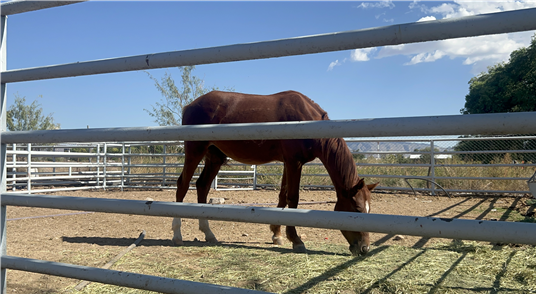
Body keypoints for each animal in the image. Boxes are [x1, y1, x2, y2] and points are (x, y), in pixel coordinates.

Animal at [174, 90, 378, 256]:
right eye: (357, 209)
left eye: (369, 210)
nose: (364, 248)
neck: (307, 120)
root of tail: (190, 106)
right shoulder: (294, 162)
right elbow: (293, 198)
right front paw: (296, 240)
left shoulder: (288, 163)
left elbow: (282, 196)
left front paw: (277, 235)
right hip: (195, 151)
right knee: (182, 185)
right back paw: (177, 235)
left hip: (215, 157)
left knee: (202, 186)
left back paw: (209, 234)